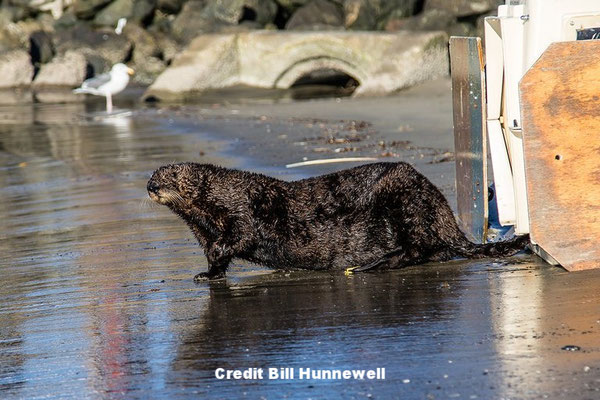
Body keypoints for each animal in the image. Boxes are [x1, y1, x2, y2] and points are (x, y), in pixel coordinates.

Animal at [148, 162, 528, 282]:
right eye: (151, 176)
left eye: (170, 176)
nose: (151, 187)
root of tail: (444, 208)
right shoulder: (200, 228)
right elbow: (215, 257)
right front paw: (205, 274)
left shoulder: (244, 208)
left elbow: (241, 235)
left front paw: (218, 251)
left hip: (402, 194)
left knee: (419, 246)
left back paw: (372, 265)